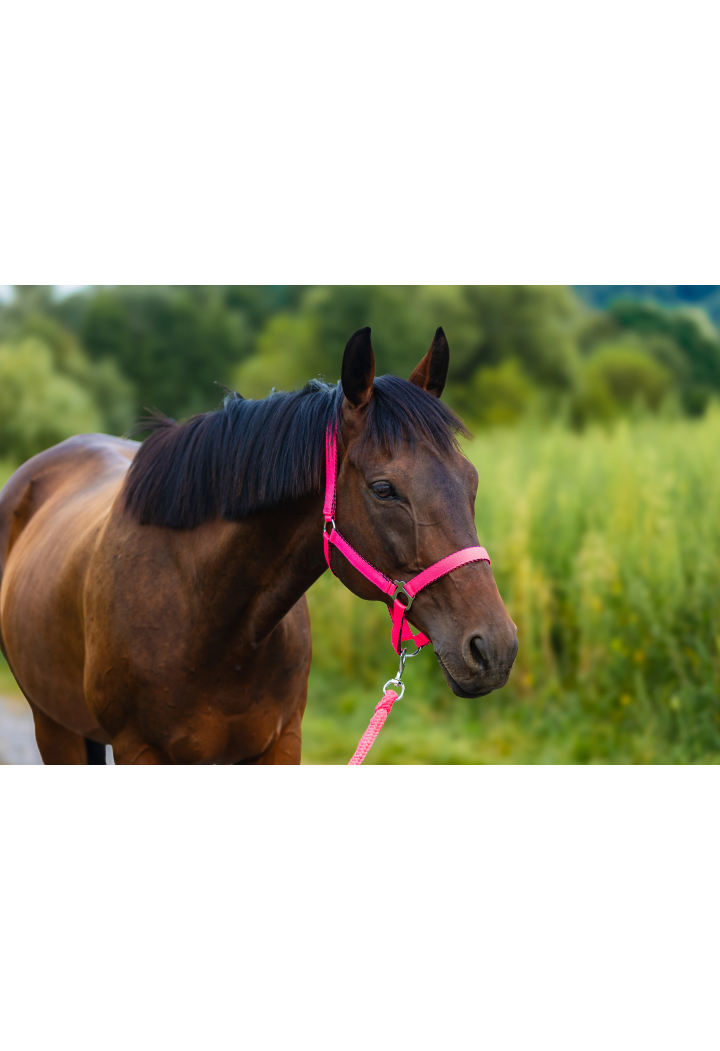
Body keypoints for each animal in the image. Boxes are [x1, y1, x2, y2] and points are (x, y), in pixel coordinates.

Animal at [0, 326, 518, 764]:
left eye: (471, 480)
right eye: (384, 489)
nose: (494, 649)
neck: (210, 621)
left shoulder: (280, 743)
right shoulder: (139, 750)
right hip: (55, 728)